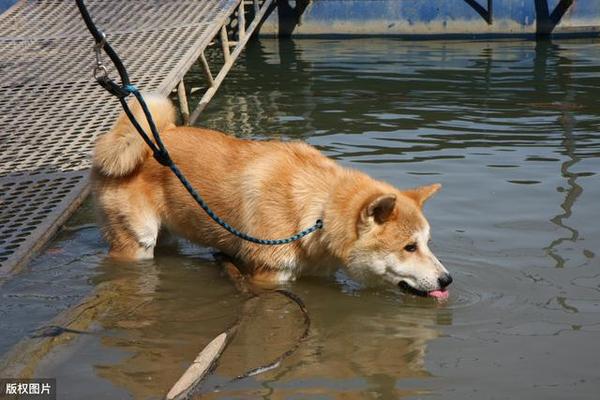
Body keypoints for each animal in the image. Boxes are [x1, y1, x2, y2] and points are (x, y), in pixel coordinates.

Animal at [91, 96, 452, 296]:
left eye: (427, 243)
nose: (447, 279)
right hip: (137, 244)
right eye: (409, 247)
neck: (317, 215)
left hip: (166, 236)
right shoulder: (268, 277)